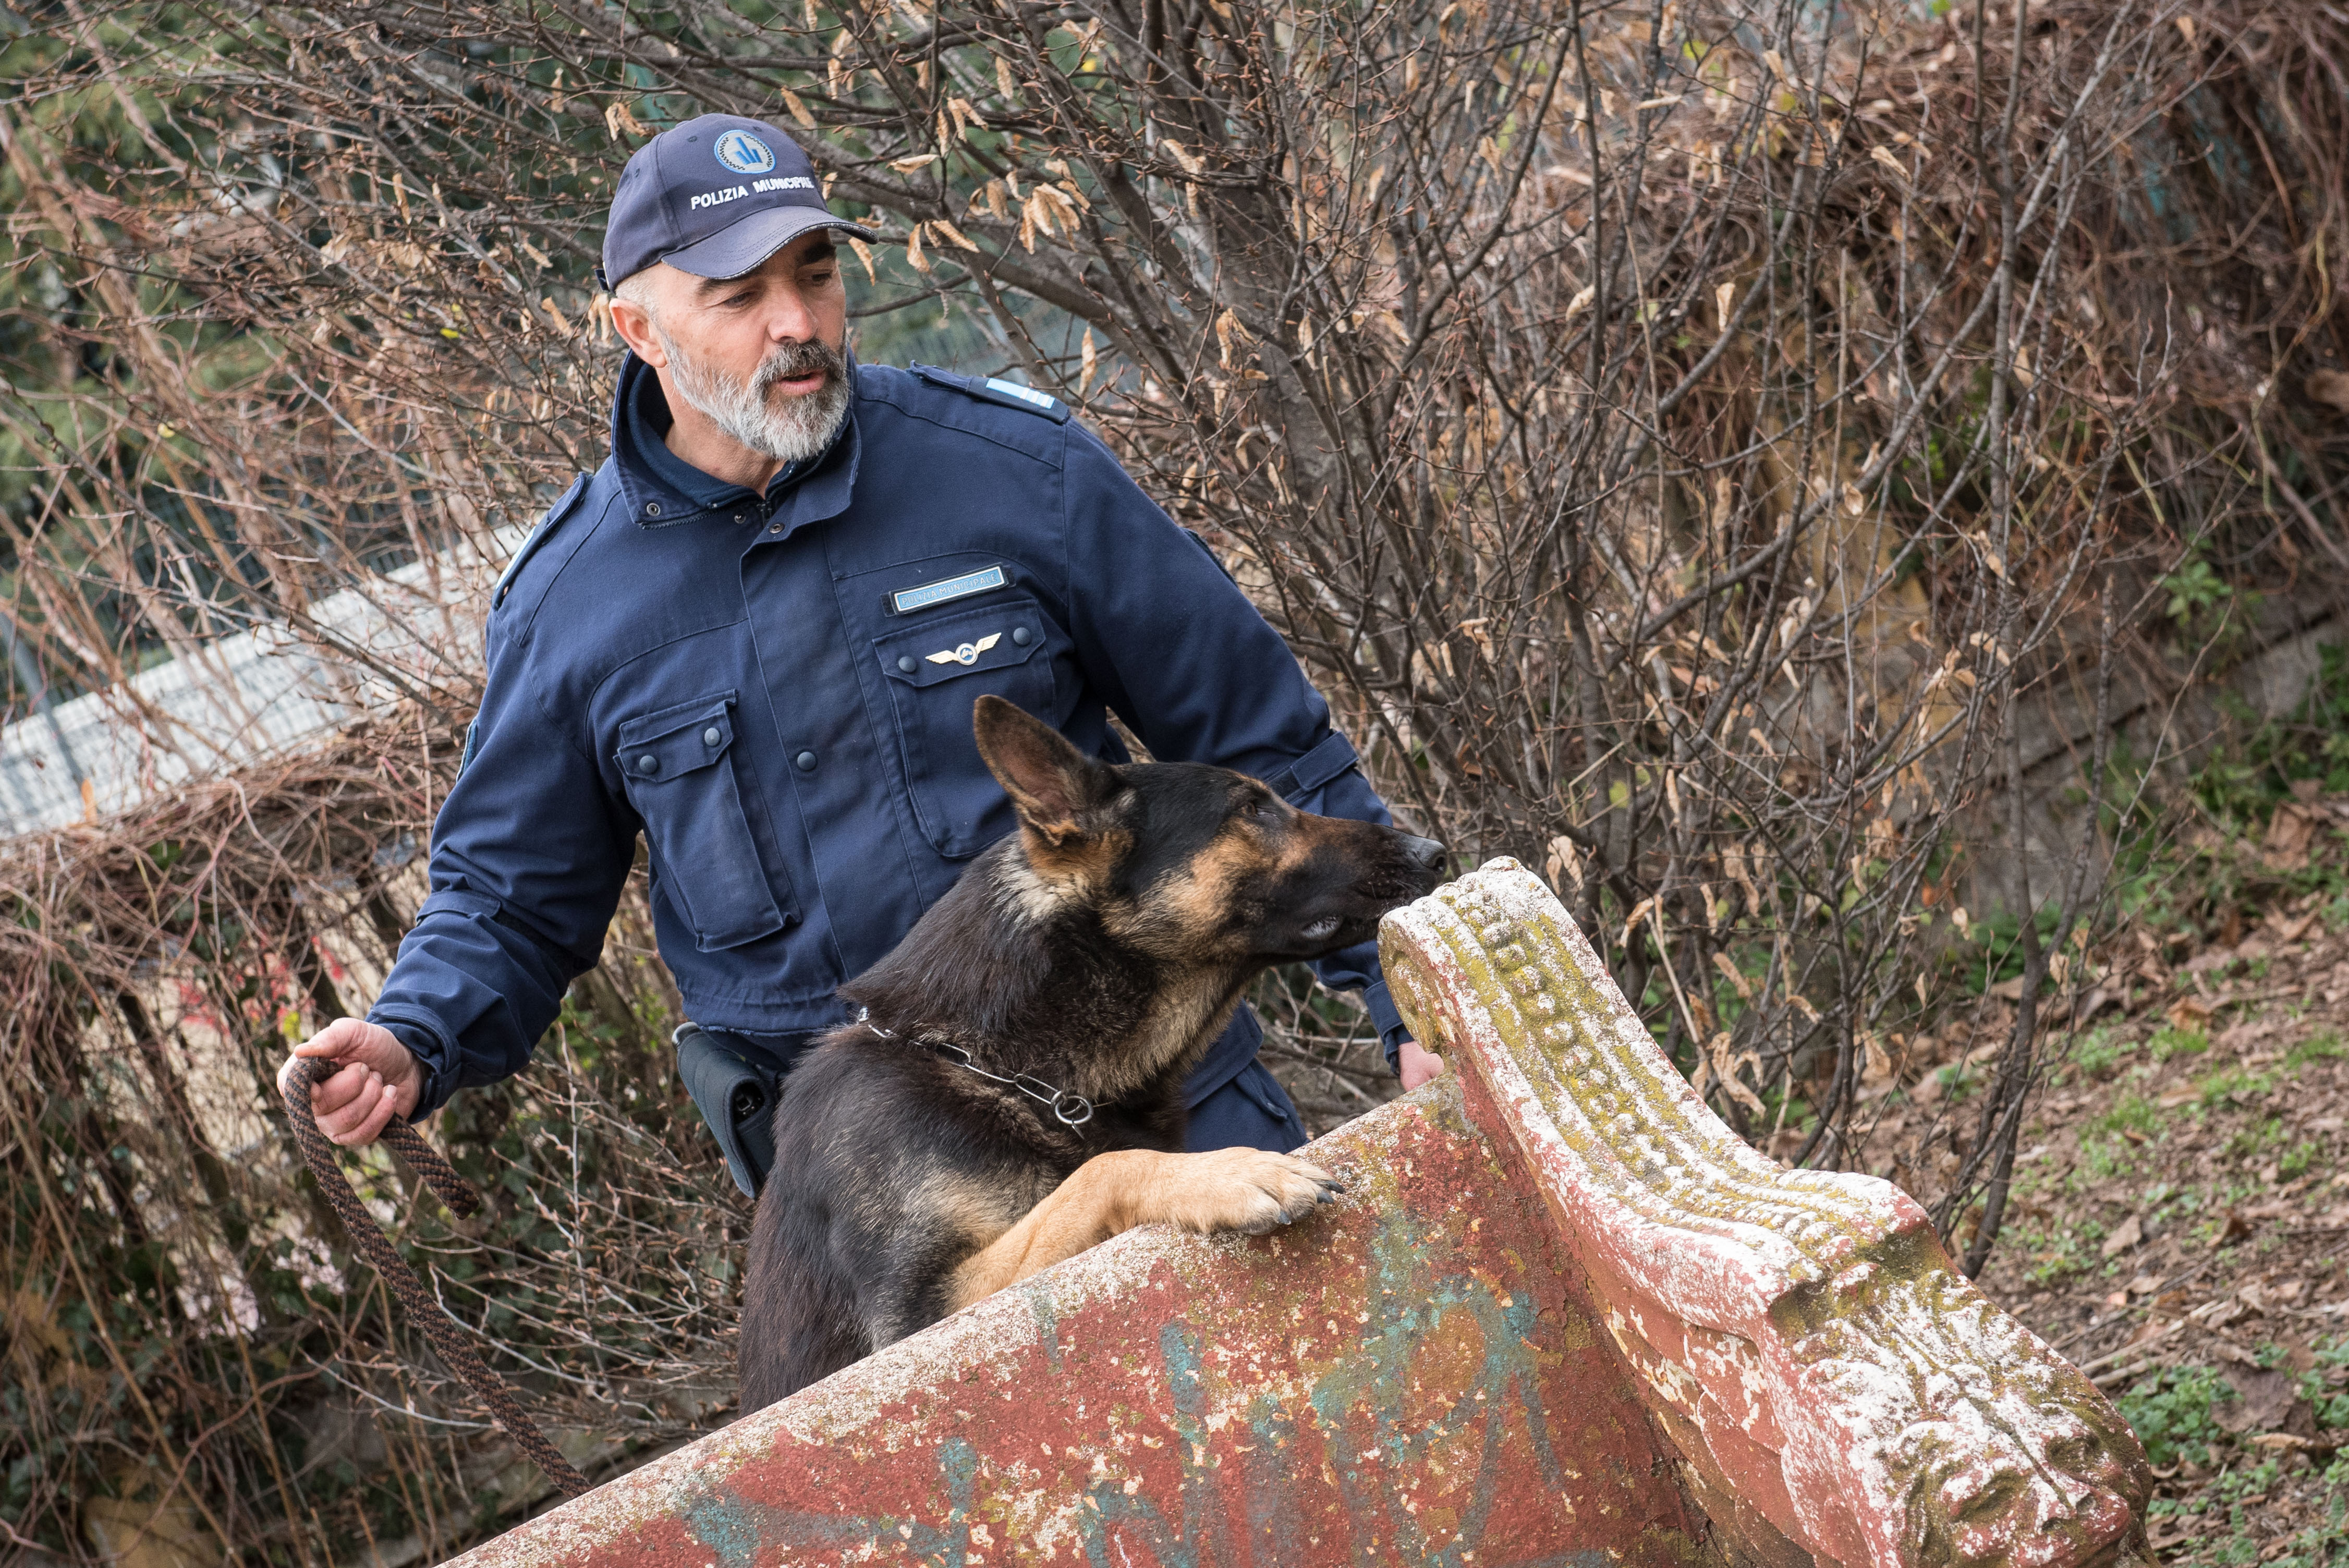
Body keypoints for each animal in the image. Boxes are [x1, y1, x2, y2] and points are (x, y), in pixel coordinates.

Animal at [747, 700, 1447, 1410]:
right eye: (1252, 808)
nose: (1434, 852)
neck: (988, 1062)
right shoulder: (922, 1325)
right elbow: (1100, 1169)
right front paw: (1230, 1171)